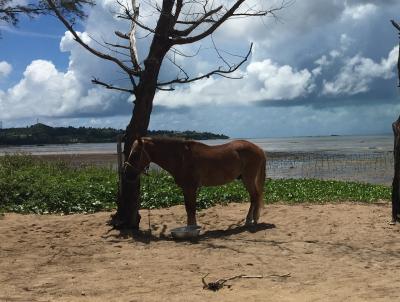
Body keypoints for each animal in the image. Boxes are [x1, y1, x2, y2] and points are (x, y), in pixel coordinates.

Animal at [123, 137, 268, 226]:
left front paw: (192, 227)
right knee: (254, 197)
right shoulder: (186, 189)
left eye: (135, 154)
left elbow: (191, 208)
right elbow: (188, 208)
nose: (127, 174)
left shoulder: (190, 188)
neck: (182, 158)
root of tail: (258, 149)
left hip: (248, 179)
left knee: (255, 197)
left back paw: (249, 220)